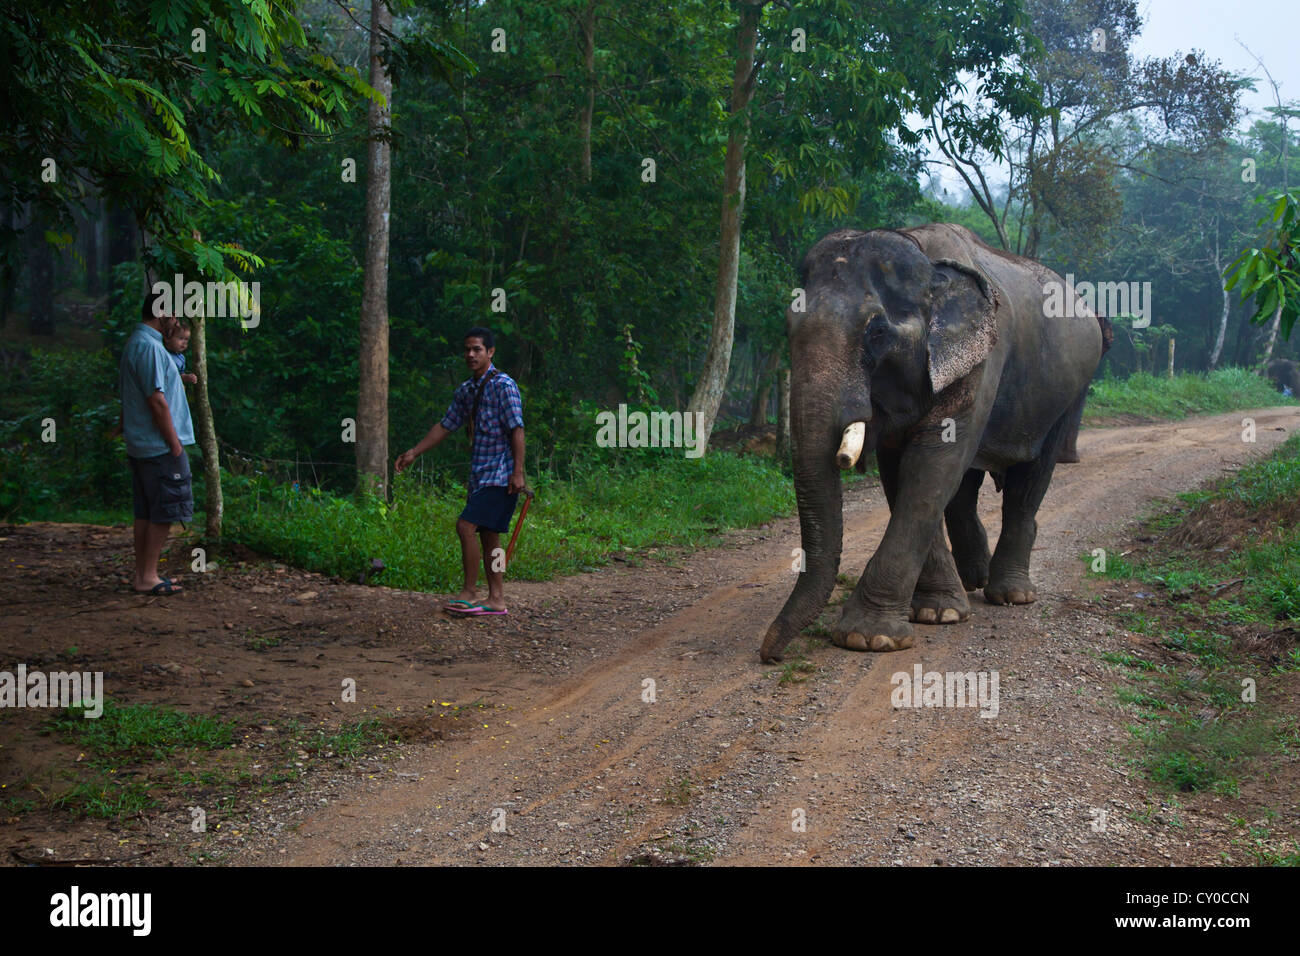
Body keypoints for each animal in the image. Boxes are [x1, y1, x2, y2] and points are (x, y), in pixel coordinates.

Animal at [759, 222, 1107, 665]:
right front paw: (934, 613)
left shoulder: (981, 359)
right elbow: (903, 471)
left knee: (1030, 479)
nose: (770, 655)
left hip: (1067, 395)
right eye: (789, 327)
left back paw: (1011, 595)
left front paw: (868, 637)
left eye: (876, 331)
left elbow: (932, 465)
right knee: (966, 487)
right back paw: (974, 579)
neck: (920, 250)